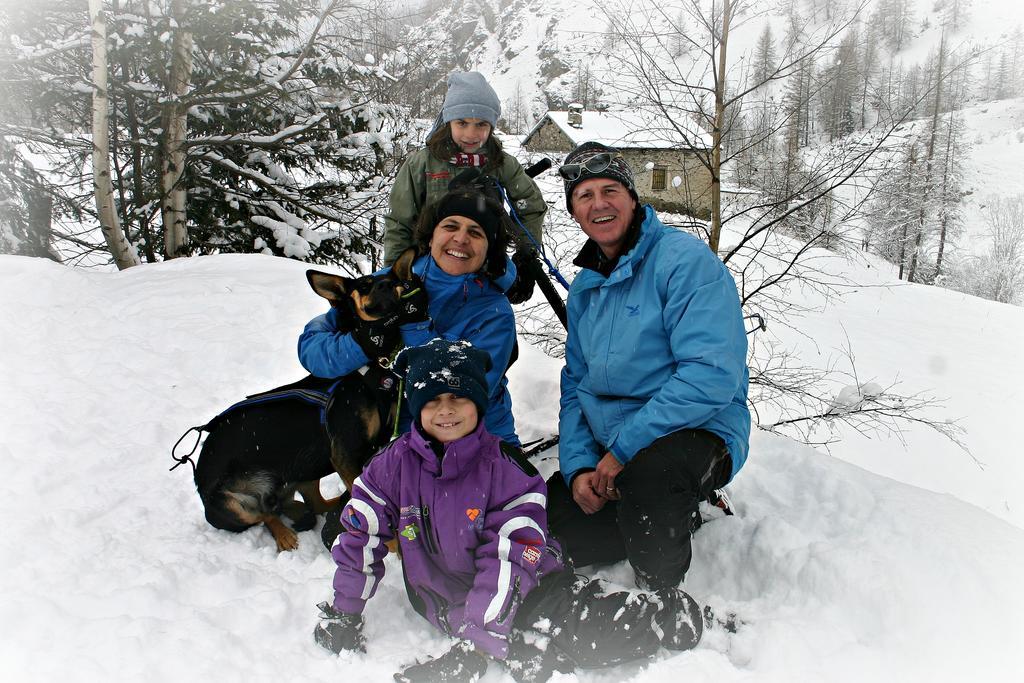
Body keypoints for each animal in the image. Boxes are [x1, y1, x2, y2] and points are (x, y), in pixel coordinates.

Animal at [192, 248, 419, 552]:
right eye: (363, 285)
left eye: (394, 281)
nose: (386, 285)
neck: (372, 367)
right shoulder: (345, 452)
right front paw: (394, 549)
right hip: (231, 507)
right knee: (265, 515)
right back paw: (284, 534)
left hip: (306, 470)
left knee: (314, 503)